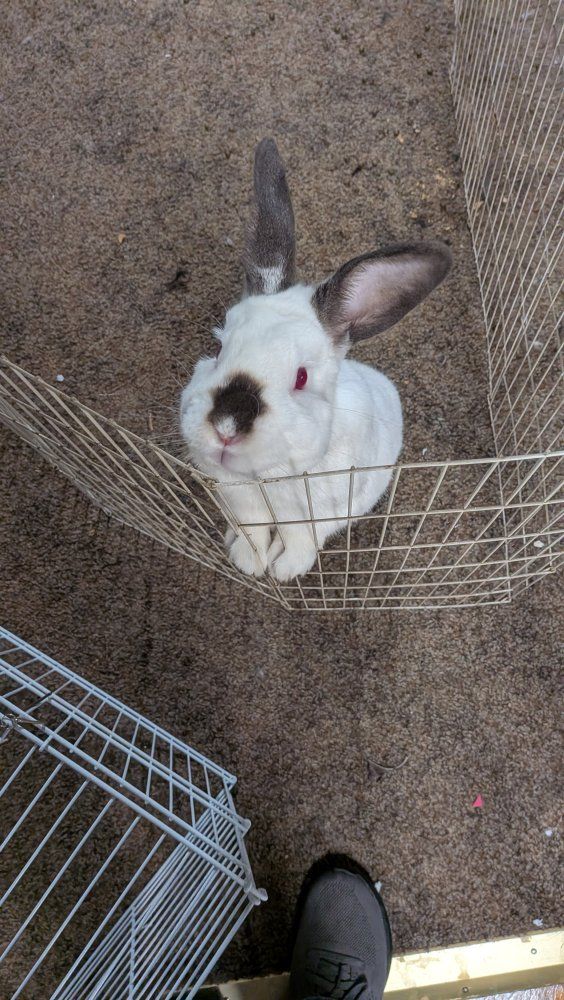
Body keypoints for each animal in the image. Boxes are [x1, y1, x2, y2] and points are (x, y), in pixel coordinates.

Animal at [180, 138, 452, 581]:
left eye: (302, 377)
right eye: (218, 347)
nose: (226, 426)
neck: (268, 475)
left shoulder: (320, 514)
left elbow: (302, 539)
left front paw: (284, 570)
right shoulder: (242, 502)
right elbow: (253, 530)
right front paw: (248, 562)